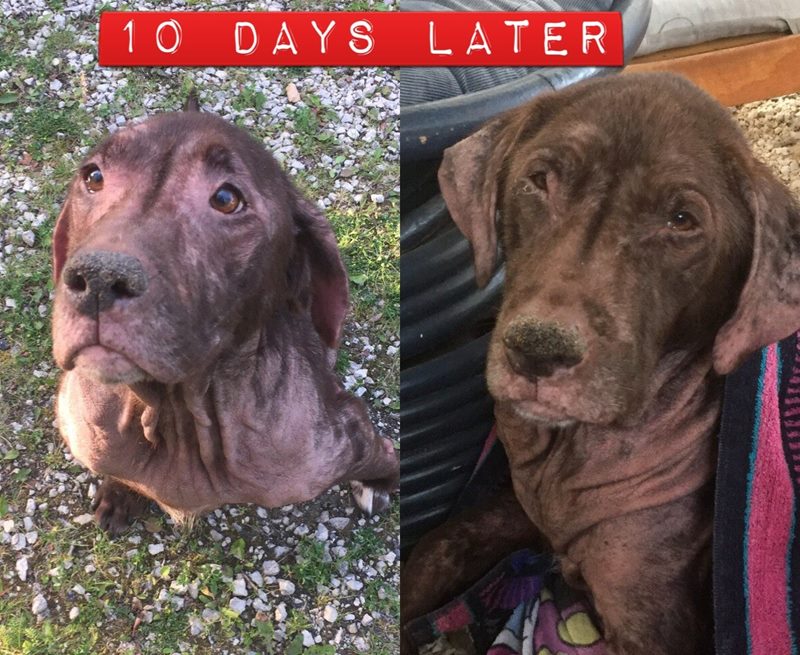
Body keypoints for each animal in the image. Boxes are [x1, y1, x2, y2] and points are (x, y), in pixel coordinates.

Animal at [51, 102, 398, 532]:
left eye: (226, 199)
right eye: (94, 177)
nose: (99, 279)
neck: (178, 417)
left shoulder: (347, 436)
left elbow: (385, 455)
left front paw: (378, 483)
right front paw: (120, 492)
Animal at [404, 73, 800, 655]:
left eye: (682, 220)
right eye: (538, 181)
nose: (537, 349)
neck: (570, 455)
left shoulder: (650, 624)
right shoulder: (515, 513)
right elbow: (434, 549)